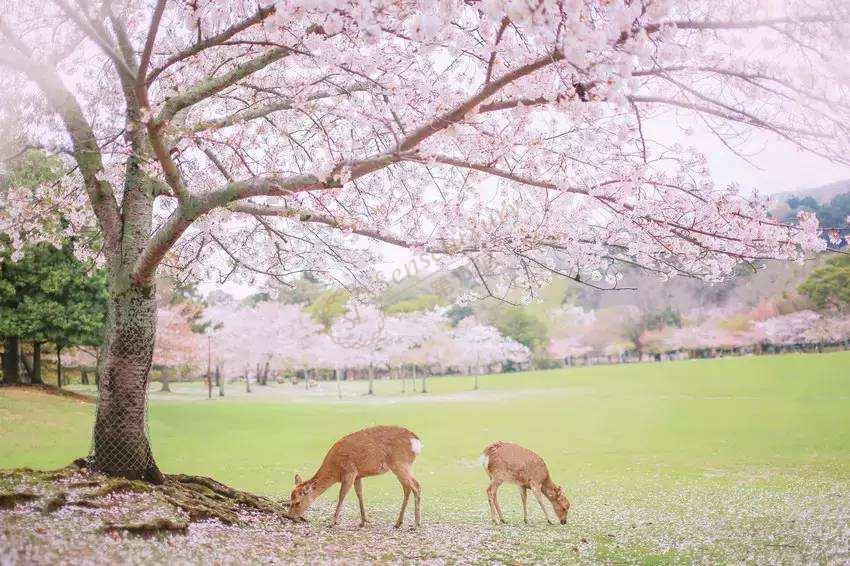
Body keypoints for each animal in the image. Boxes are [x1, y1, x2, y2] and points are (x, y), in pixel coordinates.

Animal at [288, 428, 420, 532]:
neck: (336, 471)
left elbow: (342, 495)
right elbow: (359, 494)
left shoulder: (350, 472)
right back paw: (398, 523)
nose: (289, 516)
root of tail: (417, 442)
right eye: (290, 499)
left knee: (416, 485)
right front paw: (363, 521)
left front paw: (332, 522)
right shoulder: (358, 475)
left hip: (400, 463)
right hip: (401, 466)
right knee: (407, 488)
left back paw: (416, 524)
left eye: (297, 502)